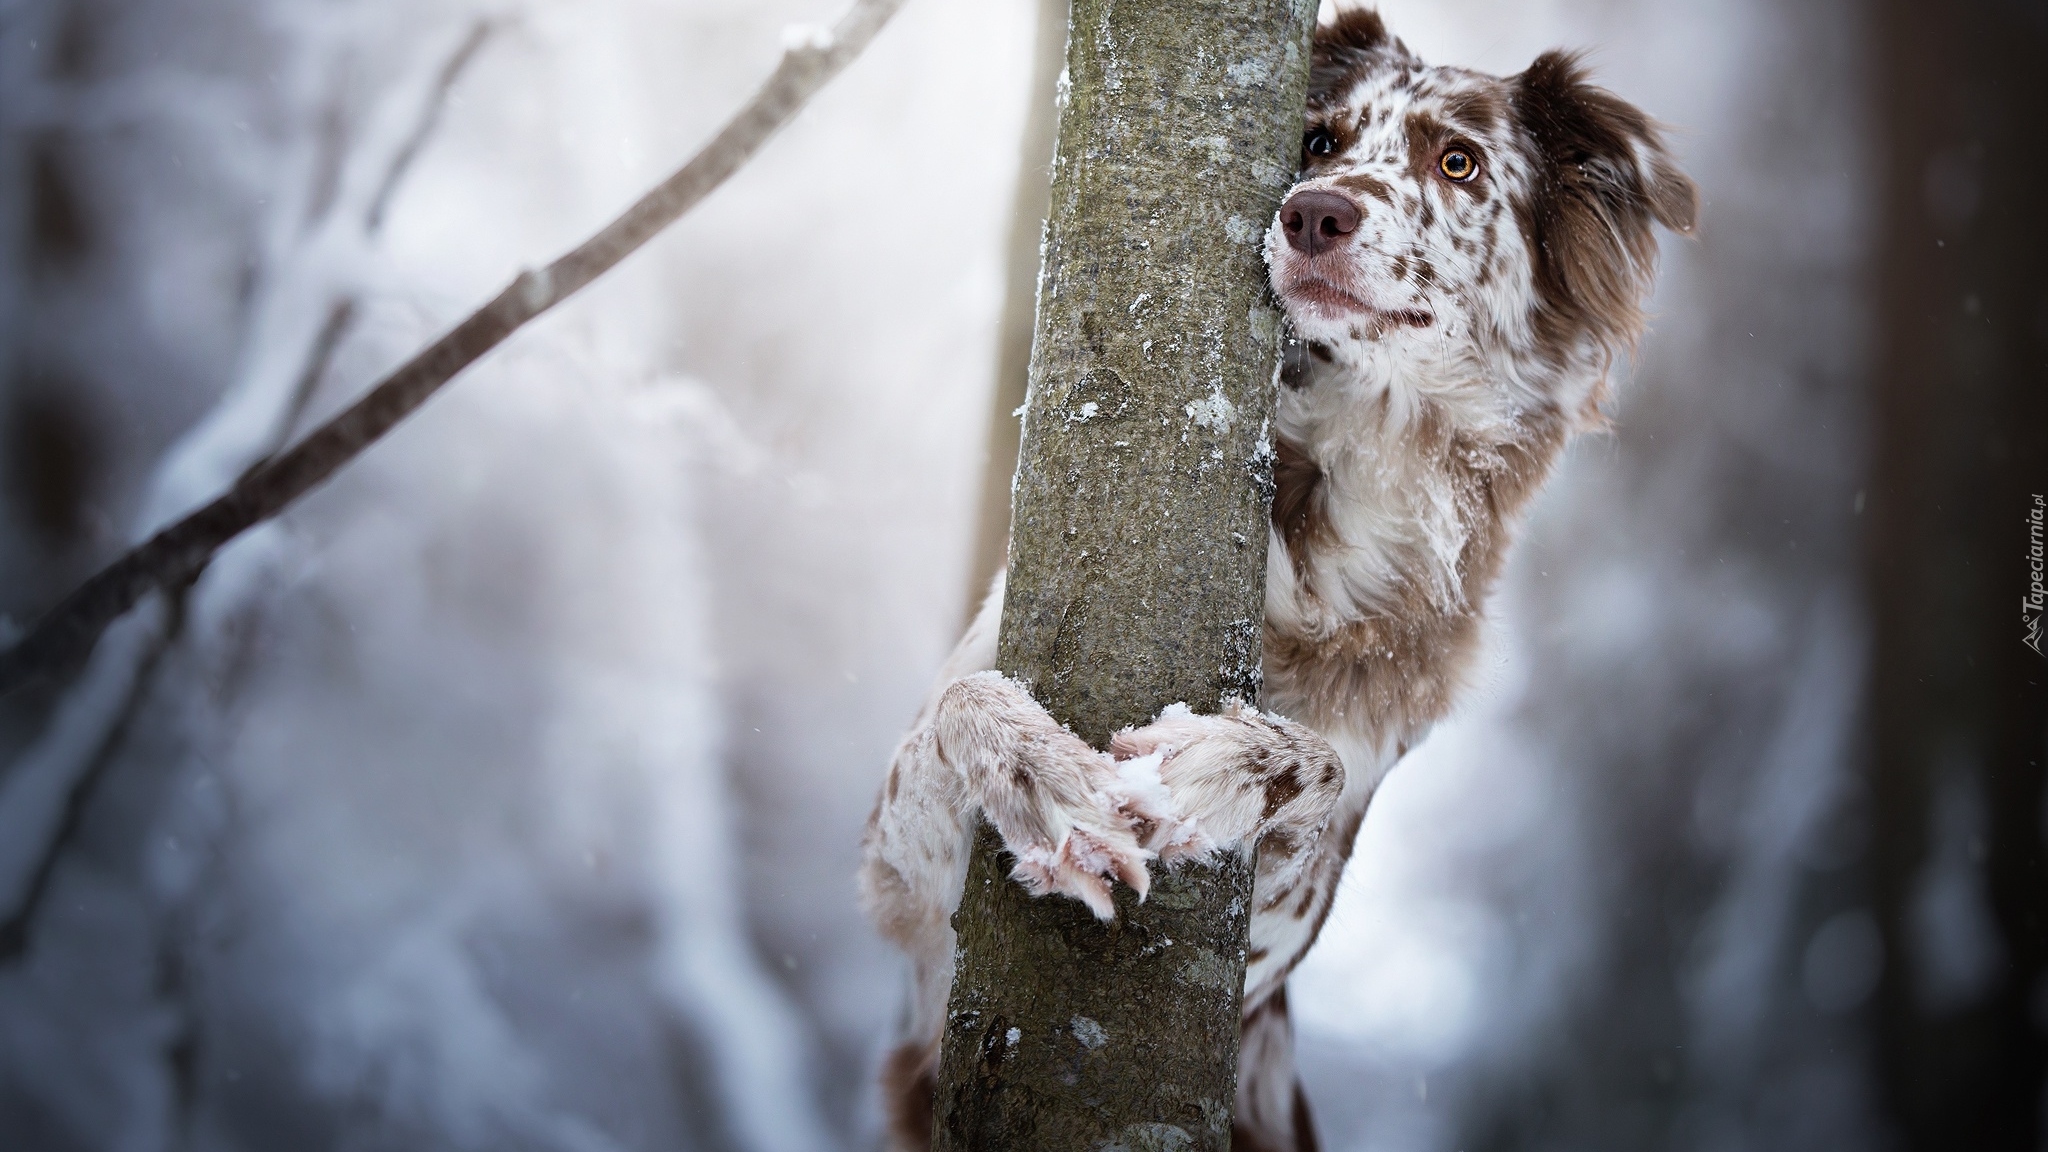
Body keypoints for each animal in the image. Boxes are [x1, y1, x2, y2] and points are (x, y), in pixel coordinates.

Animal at [856, 11, 1687, 1147]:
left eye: (1457, 162)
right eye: (1319, 141)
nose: (1313, 213)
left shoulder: (1277, 949)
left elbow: (1319, 773)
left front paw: (1220, 769)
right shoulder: (914, 940)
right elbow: (955, 710)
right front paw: (1043, 775)